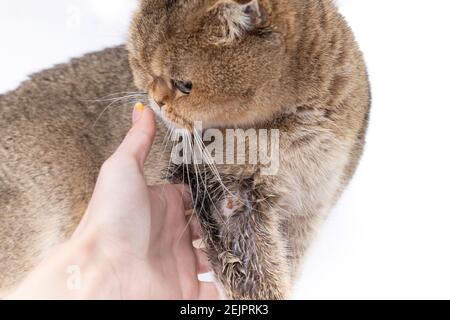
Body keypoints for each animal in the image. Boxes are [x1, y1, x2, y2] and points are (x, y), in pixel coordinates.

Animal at [0, 0, 370, 300]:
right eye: (140, 65)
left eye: (184, 84)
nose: (154, 101)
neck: (292, 133)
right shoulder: (228, 196)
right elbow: (255, 275)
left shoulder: (308, 211)